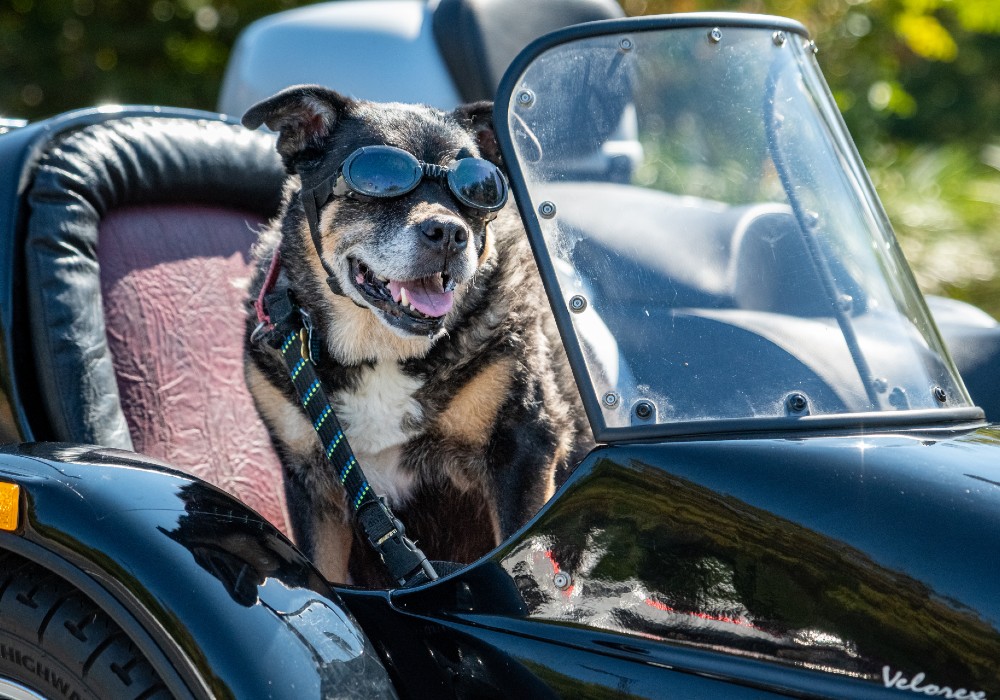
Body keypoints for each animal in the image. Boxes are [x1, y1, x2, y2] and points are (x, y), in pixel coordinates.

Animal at [242, 83, 592, 584]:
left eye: (479, 190)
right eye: (379, 180)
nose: (447, 232)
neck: (380, 351)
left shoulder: (523, 449)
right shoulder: (311, 482)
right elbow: (323, 578)